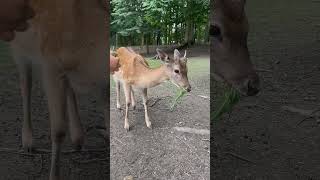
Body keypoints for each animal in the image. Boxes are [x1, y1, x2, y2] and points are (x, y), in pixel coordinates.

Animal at [9, 0, 109, 179]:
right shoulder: (50, 63)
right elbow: (58, 129)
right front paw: (54, 175)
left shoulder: (102, 86)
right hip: (18, 46)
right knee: (25, 82)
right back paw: (28, 142)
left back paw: (78, 138)